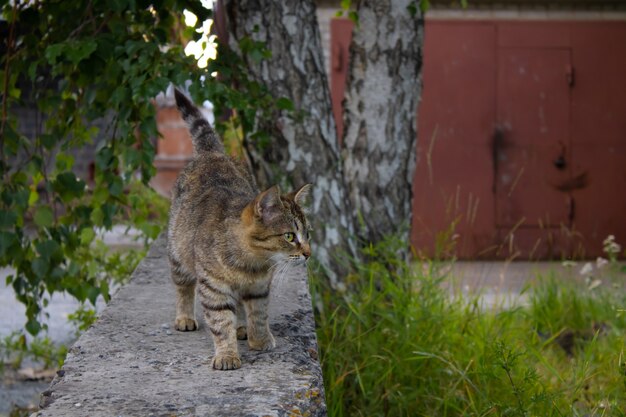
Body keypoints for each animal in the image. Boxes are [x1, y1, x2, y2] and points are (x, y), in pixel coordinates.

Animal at [167, 88, 310, 370]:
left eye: (307, 234)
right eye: (289, 236)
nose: (309, 253)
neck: (251, 263)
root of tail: (212, 153)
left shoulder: (259, 288)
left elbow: (259, 314)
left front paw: (260, 339)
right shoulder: (213, 288)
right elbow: (221, 323)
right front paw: (227, 354)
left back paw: (242, 326)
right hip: (178, 254)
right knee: (183, 287)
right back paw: (185, 316)